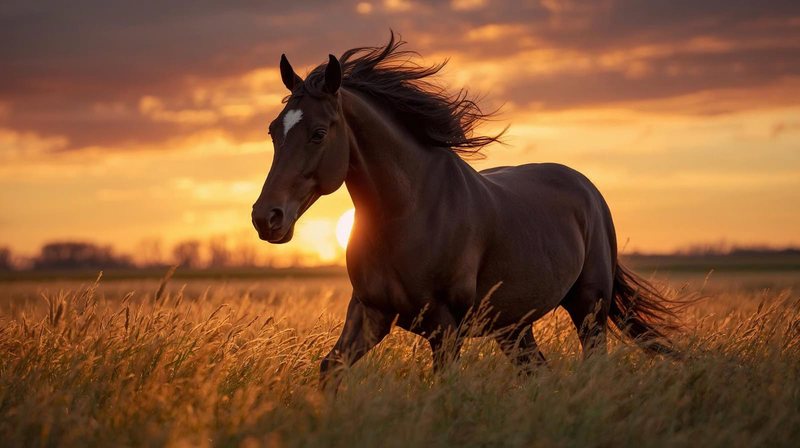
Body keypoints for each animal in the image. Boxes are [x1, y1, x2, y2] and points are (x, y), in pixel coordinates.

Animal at [252, 34, 682, 391]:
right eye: (273, 130)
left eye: (319, 133)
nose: (265, 217)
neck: (407, 214)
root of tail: (588, 189)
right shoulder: (370, 313)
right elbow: (330, 369)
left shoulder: (445, 327)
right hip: (513, 326)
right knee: (538, 372)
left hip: (589, 307)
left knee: (593, 362)